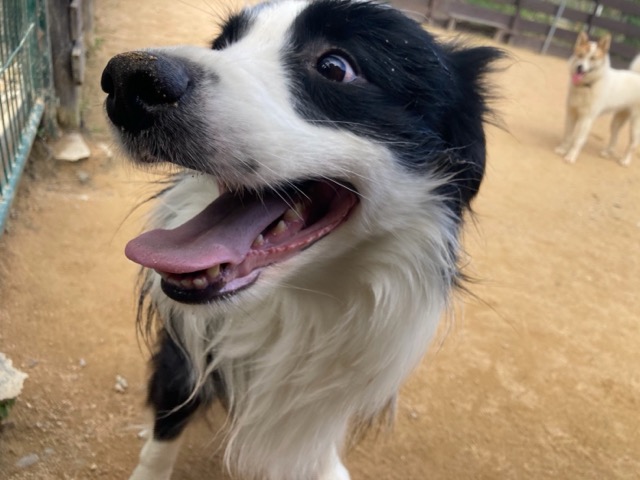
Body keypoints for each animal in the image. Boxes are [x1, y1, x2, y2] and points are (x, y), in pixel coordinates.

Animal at [101, 1, 501, 478]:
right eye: (223, 45)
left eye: (335, 67)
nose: (128, 80)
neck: (296, 301)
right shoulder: (184, 347)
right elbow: (169, 415)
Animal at [555, 31, 640, 166]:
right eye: (580, 55)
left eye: (592, 58)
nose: (579, 67)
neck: (587, 85)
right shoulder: (571, 113)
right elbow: (568, 134)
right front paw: (562, 149)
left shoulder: (587, 119)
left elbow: (578, 140)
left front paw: (571, 156)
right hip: (618, 119)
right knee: (615, 136)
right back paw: (607, 153)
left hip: (635, 124)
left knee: (633, 144)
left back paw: (625, 161)